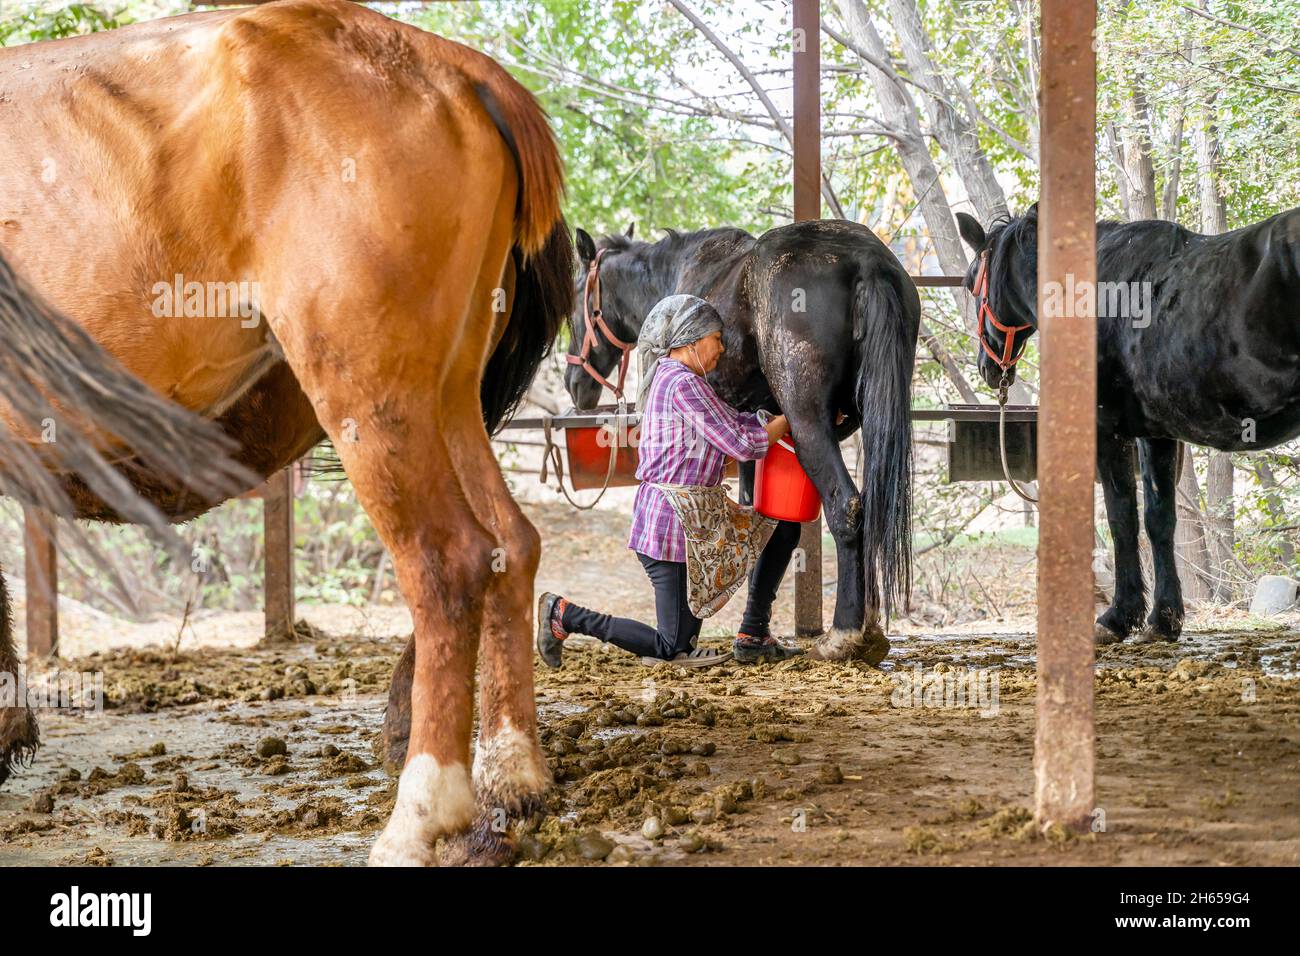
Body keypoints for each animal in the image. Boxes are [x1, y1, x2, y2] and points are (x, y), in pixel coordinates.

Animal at [0, 0, 572, 868]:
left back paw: (421, 815)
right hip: (446, 394)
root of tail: (460, 68)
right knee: (512, 543)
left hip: (370, 394)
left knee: (450, 565)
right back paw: (511, 780)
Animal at [564, 221, 920, 660]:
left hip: (808, 423)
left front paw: (749, 638)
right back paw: (869, 629)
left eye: (575, 303)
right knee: (871, 508)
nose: (574, 384)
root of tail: (865, 259)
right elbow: (768, 523)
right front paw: (756, 636)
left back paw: (843, 634)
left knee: (847, 507)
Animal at [956, 205, 1300, 647]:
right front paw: (1164, 619)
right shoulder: (1157, 434)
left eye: (970, 282)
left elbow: (1122, 519)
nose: (987, 366)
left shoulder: (1108, 432)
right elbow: (1158, 520)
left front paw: (1119, 616)